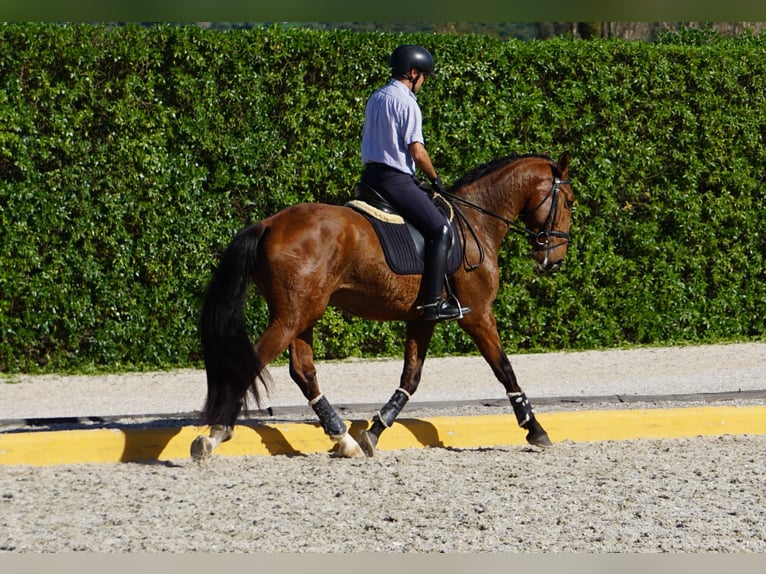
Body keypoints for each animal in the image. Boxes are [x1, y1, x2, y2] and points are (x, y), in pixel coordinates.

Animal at [192, 151, 576, 462]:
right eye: (570, 201)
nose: (554, 261)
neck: (477, 221)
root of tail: (269, 223)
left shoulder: (423, 318)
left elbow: (411, 377)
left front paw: (374, 431)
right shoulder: (478, 314)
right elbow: (504, 369)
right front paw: (534, 428)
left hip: (303, 315)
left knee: (303, 371)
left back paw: (342, 438)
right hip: (293, 316)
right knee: (253, 362)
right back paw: (215, 435)